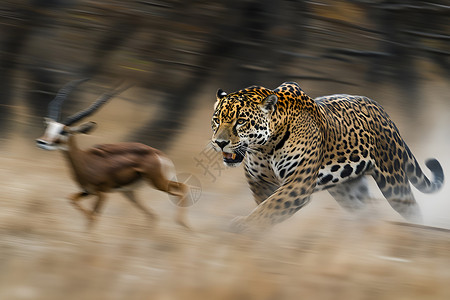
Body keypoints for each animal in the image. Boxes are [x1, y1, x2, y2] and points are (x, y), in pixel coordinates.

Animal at [35, 79, 190, 230]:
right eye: (49, 127)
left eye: (64, 131)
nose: (42, 142)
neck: (86, 161)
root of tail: (158, 153)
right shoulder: (87, 191)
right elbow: (72, 200)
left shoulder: (102, 193)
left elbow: (93, 218)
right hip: (131, 192)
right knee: (153, 214)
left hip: (158, 183)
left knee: (182, 188)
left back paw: (183, 225)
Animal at [210, 81, 442, 231]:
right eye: (216, 119)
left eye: (241, 121)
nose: (219, 142)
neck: (265, 148)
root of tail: (384, 112)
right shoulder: (258, 180)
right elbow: (265, 205)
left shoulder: (298, 183)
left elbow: (270, 207)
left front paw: (244, 226)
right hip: (347, 189)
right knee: (368, 210)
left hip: (393, 179)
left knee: (412, 208)